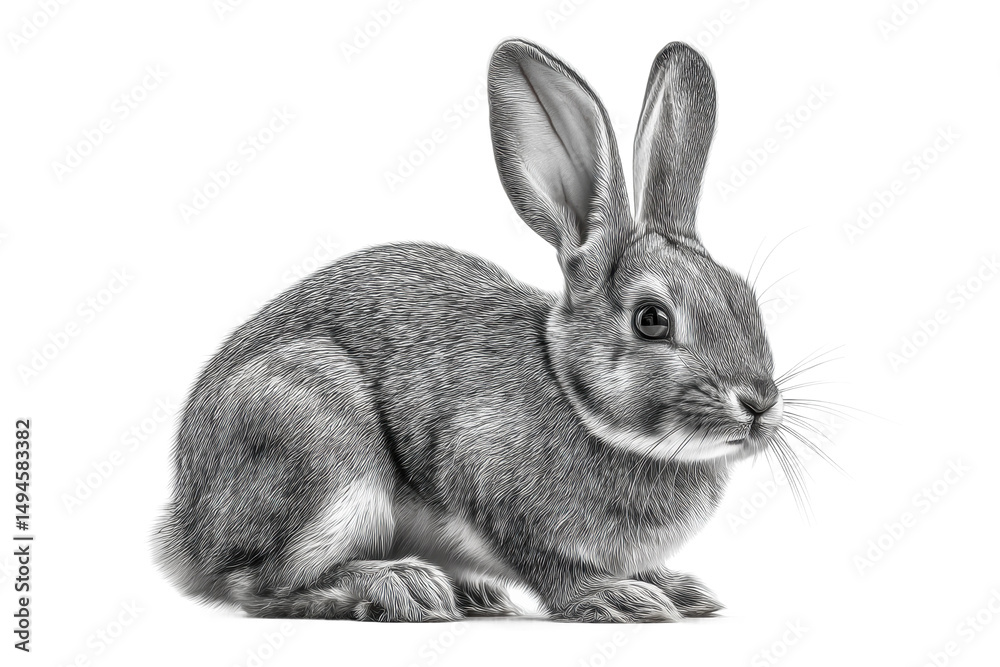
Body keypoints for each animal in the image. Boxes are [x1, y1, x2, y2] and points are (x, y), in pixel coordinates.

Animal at [153, 38, 785, 623]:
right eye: (652, 319)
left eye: (747, 300)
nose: (759, 404)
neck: (575, 397)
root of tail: (185, 527)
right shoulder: (491, 489)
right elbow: (549, 566)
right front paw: (616, 597)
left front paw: (679, 589)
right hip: (321, 451)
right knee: (263, 584)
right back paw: (399, 587)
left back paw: (470, 594)